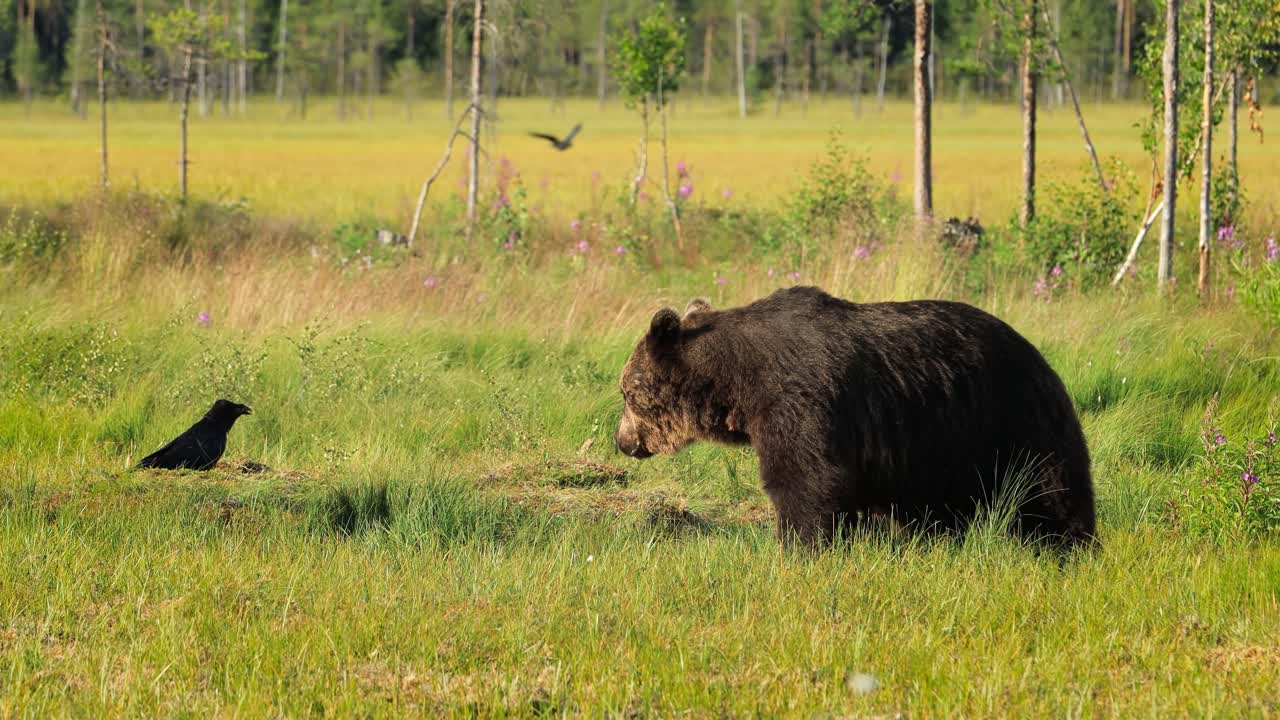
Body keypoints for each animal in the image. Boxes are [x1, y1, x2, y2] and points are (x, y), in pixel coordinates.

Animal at [614, 286, 1096, 548]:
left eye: (626, 392)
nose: (622, 441)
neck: (738, 381)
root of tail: (1040, 356)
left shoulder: (800, 401)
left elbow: (806, 482)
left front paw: (801, 548)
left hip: (1012, 418)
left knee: (1050, 489)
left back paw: (1066, 544)